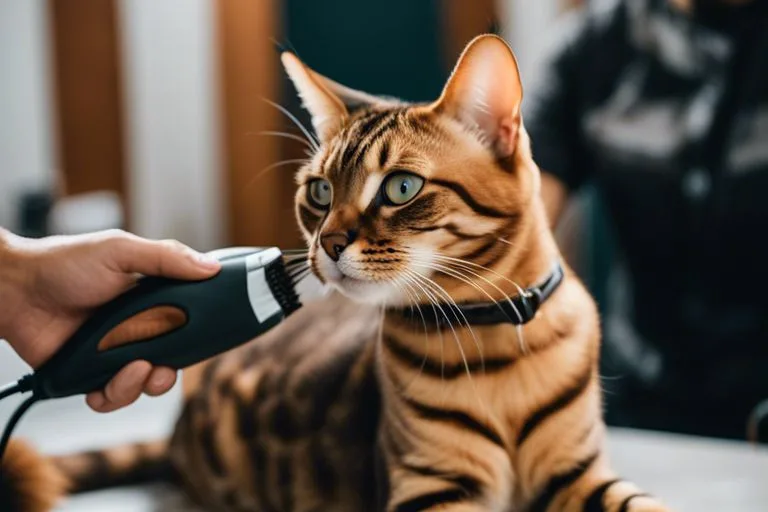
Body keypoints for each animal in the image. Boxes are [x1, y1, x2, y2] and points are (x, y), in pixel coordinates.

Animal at [3, 35, 668, 512]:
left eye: (401, 188)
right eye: (320, 192)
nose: (328, 243)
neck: (494, 335)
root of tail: (174, 435)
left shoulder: (580, 474)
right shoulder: (430, 486)